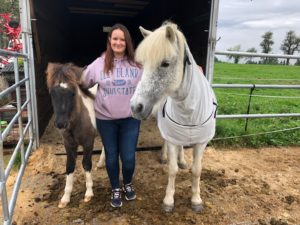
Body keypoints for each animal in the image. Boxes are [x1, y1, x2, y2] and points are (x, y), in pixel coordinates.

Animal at [46, 62, 99, 208]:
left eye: (73, 93)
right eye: (52, 93)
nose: (60, 123)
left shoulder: (88, 143)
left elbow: (86, 164)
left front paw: (89, 193)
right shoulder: (69, 144)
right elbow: (70, 166)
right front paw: (65, 198)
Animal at [130, 21, 217, 213]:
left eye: (165, 63)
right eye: (143, 64)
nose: (135, 107)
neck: (189, 110)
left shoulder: (202, 142)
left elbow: (197, 170)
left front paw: (196, 200)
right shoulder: (172, 138)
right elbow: (172, 169)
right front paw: (168, 200)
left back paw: (183, 160)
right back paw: (164, 157)